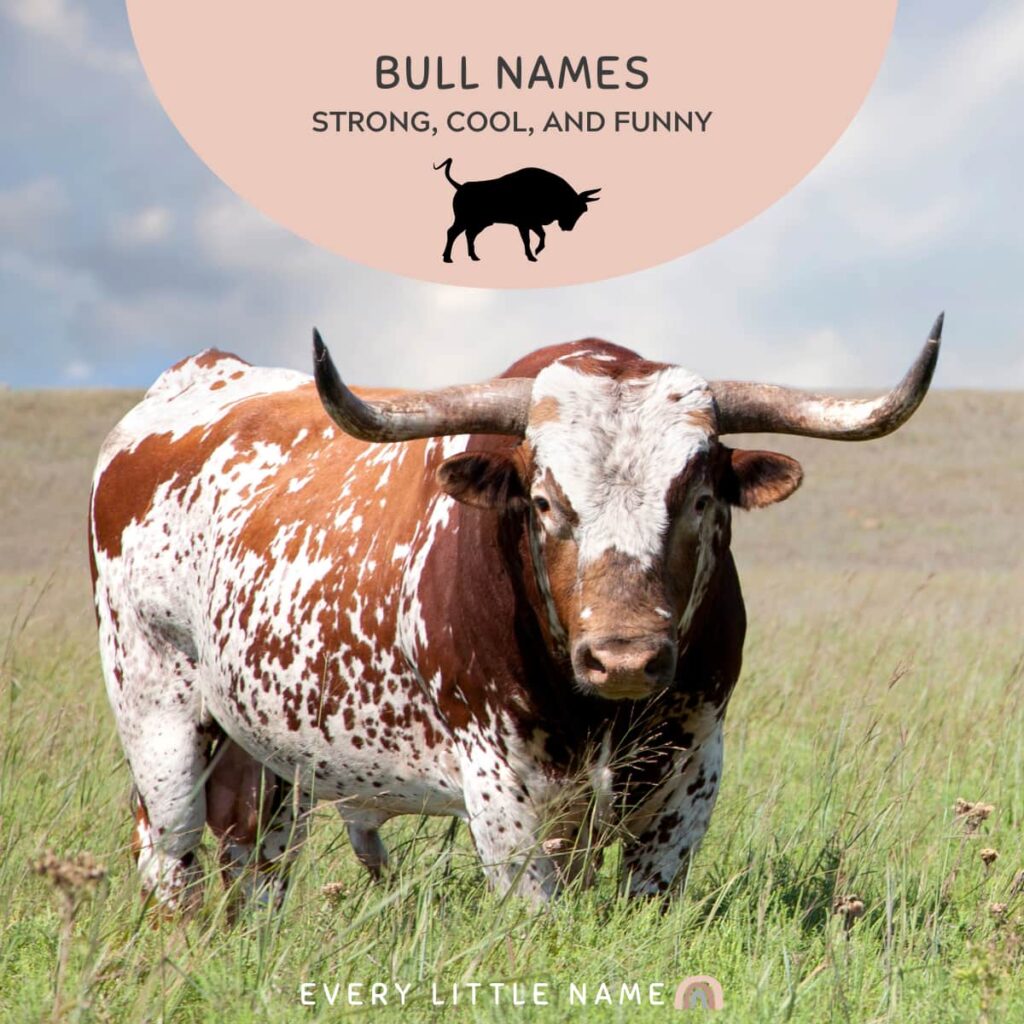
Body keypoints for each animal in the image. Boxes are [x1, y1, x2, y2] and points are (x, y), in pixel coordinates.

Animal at [89, 316, 942, 915]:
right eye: (543, 501)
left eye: (700, 499)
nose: (624, 658)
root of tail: (195, 377)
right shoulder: (502, 792)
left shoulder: (690, 772)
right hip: (155, 711)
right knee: (167, 851)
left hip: (266, 751)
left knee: (256, 852)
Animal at [435, 158, 600, 263]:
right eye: (573, 208)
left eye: (583, 210)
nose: (568, 227)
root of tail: (460, 186)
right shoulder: (524, 224)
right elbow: (528, 239)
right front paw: (532, 256)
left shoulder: (534, 223)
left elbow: (542, 235)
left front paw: (536, 252)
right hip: (462, 219)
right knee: (452, 232)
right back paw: (447, 258)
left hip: (480, 223)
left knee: (469, 235)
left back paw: (474, 256)